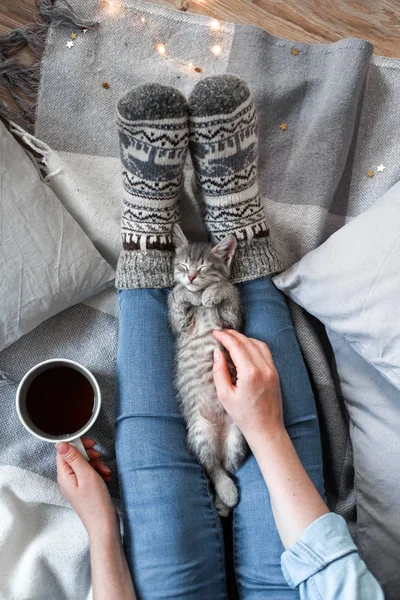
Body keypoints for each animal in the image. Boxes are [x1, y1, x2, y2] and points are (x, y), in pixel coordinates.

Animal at [167, 225, 245, 516]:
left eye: (202, 268)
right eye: (183, 265)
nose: (190, 277)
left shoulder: (232, 322)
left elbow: (228, 290)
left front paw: (213, 291)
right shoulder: (179, 325)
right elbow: (176, 296)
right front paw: (186, 291)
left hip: (238, 437)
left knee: (225, 468)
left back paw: (224, 499)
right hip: (199, 432)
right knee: (212, 467)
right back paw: (226, 494)